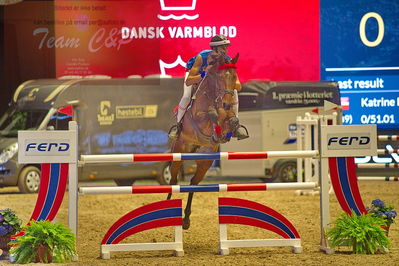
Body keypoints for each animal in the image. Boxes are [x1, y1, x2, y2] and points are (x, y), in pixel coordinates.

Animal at [167, 51, 242, 229]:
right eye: (219, 77)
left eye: (234, 76)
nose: (227, 102)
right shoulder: (199, 118)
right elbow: (211, 114)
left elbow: (231, 120)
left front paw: (224, 132)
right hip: (178, 152)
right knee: (173, 179)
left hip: (205, 161)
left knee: (193, 182)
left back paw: (186, 219)